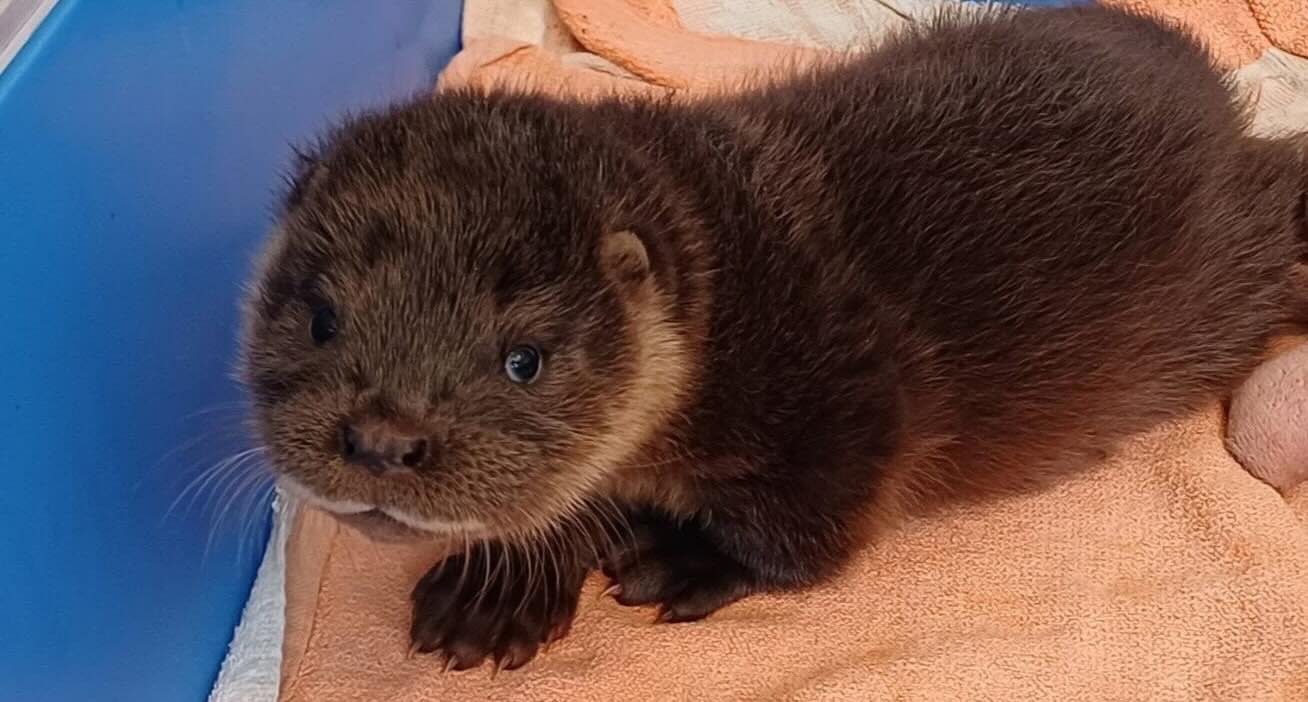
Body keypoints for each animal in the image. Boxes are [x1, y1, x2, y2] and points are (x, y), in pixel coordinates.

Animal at [239, 5, 1308, 673]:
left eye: (523, 360)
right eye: (321, 317)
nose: (383, 440)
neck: (729, 302)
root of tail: (1218, 96)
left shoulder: (848, 401)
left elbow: (807, 537)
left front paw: (682, 559)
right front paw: (493, 595)